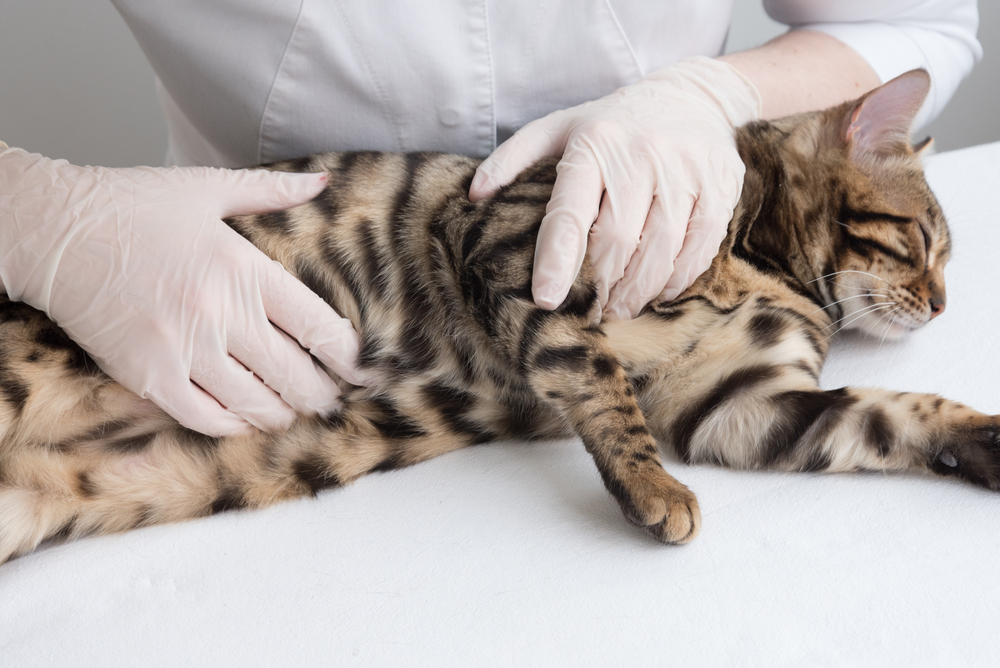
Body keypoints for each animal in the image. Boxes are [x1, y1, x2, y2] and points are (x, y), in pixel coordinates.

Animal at [0, 70, 992, 560]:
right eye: (920, 241)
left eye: (944, 257)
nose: (944, 305)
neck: (764, 264)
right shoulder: (511, 241)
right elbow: (595, 373)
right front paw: (652, 490)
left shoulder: (739, 402)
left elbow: (893, 416)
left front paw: (982, 436)